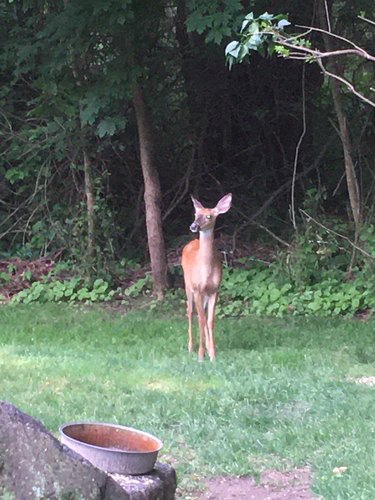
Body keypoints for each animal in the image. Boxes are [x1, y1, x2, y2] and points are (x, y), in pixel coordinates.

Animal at [181, 193, 232, 362]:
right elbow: (201, 319)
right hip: (188, 285)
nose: (193, 226)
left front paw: (212, 354)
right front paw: (201, 355)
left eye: (209, 216)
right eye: (196, 214)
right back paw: (191, 347)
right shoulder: (197, 289)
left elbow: (210, 320)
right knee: (190, 312)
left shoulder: (215, 290)